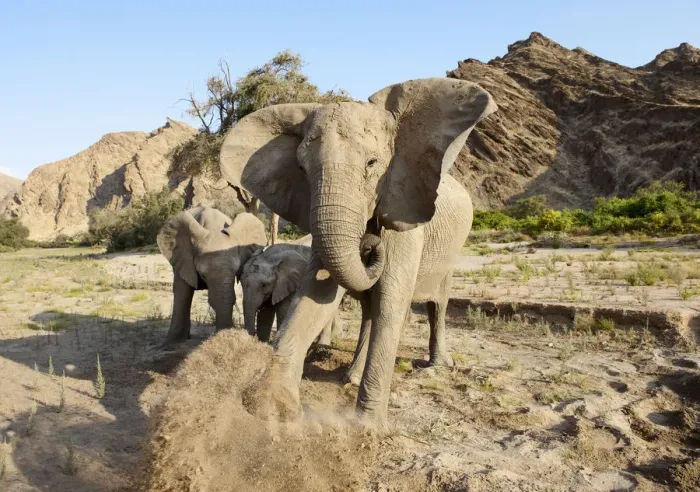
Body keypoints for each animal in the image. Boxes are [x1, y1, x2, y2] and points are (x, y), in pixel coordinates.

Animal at [219, 77, 497, 428]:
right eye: (302, 168)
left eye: (372, 164)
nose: (369, 244)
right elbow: (317, 297)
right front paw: (272, 409)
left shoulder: (405, 215)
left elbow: (391, 304)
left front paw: (368, 428)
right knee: (369, 310)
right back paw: (350, 377)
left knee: (435, 305)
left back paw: (435, 366)